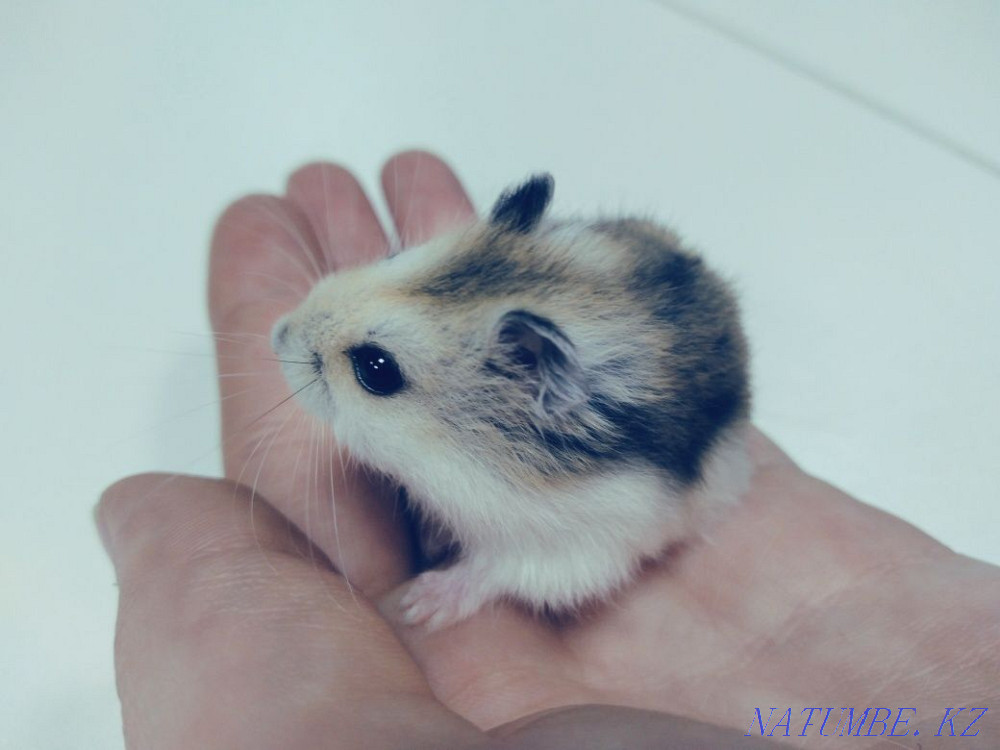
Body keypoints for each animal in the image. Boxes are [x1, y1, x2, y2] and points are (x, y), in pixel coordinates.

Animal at [272, 175, 751, 630]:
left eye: (376, 369)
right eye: (391, 259)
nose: (278, 335)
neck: (456, 446)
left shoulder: (576, 547)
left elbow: (493, 571)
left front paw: (420, 606)